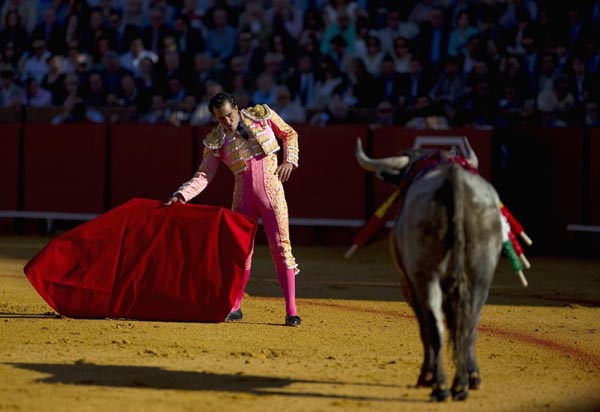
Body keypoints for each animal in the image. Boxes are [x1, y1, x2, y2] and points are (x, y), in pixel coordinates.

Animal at [358, 138, 504, 402]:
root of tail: (453, 177)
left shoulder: (408, 283)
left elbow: (424, 327)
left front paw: (426, 376)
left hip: (425, 276)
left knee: (435, 327)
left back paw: (440, 386)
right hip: (482, 273)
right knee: (469, 325)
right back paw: (465, 383)